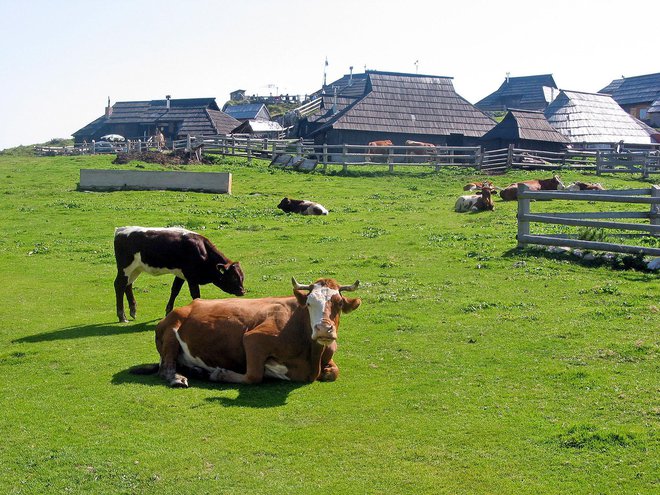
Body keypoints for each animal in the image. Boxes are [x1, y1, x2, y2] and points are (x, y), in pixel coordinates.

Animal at [113, 227, 245, 324]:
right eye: (233, 277)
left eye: (242, 277)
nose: (242, 291)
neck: (203, 252)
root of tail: (121, 230)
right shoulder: (191, 277)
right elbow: (196, 295)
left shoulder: (181, 275)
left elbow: (175, 290)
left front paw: (168, 311)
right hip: (125, 268)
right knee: (119, 285)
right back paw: (122, 316)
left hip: (135, 269)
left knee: (128, 285)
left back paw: (133, 311)